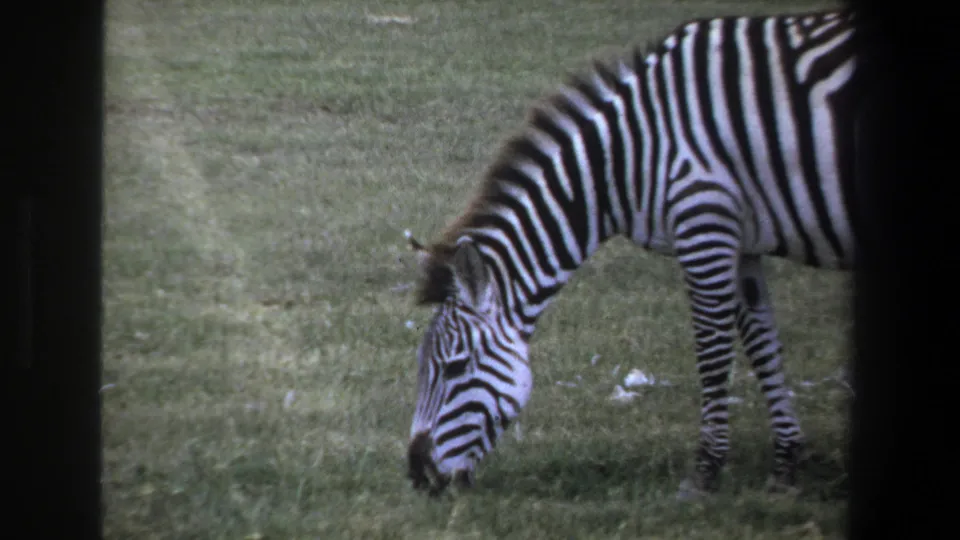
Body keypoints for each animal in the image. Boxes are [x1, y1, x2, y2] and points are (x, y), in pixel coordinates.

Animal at [405, 8, 868, 498]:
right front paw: (786, 463)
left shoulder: (704, 223)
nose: (418, 475)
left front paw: (705, 471)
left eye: (454, 369)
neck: (628, 158)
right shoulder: (741, 241)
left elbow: (712, 351)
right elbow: (763, 347)